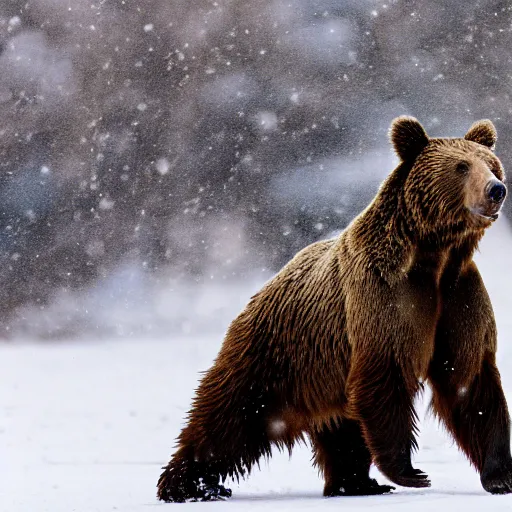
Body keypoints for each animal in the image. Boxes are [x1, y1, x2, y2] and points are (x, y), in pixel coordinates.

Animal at [156, 115, 512, 500]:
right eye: (461, 167)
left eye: (492, 165)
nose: (496, 190)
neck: (434, 258)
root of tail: (269, 283)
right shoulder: (385, 296)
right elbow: (387, 371)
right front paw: (411, 472)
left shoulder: (458, 296)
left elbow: (469, 379)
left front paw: (500, 475)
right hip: (275, 351)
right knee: (231, 411)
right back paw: (188, 484)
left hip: (326, 367)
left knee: (343, 427)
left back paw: (354, 483)